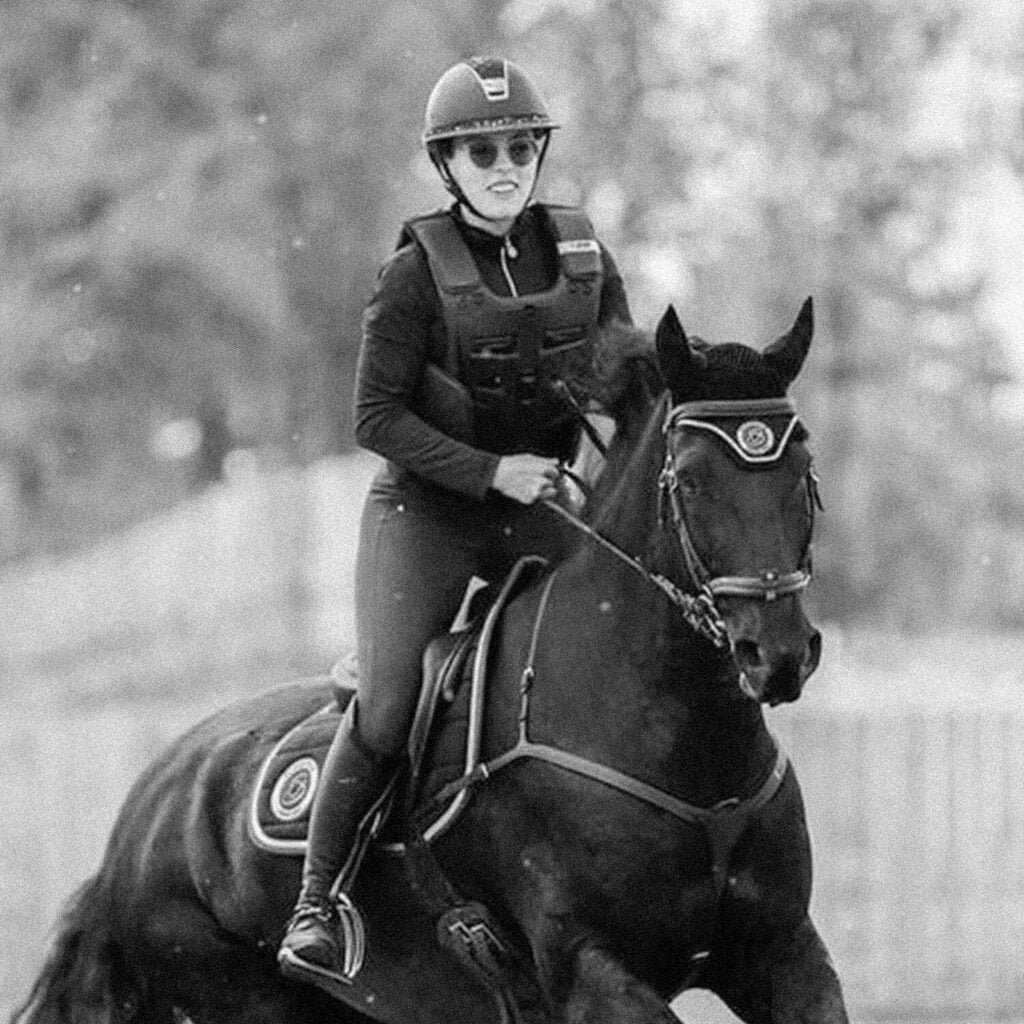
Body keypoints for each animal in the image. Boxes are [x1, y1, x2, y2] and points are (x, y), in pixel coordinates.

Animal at [11, 299, 849, 1024]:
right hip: (243, 994)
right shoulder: (592, 967)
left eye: (804, 469)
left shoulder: (784, 953)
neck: (680, 743)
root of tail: (140, 815)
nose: (776, 654)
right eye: (693, 480)